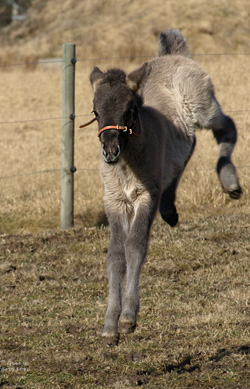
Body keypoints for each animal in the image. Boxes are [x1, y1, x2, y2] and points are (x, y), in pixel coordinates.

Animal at [85, 29, 240, 346]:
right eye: (96, 112)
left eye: (129, 110)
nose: (110, 151)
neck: (127, 164)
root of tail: (173, 55)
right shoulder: (114, 200)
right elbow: (115, 254)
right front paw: (109, 326)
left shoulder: (147, 195)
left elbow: (135, 245)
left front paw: (128, 318)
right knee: (187, 147)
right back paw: (170, 210)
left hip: (204, 106)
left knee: (226, 127)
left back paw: (229, 180)